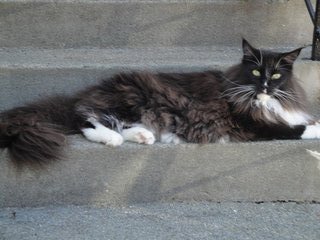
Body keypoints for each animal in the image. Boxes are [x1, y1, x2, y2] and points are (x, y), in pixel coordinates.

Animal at [0, 39, 320, 167]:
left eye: (276, 74)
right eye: (256, 72)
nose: (264, 86)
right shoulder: (254, 126)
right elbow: (299, 129)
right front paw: (315, 128)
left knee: (120, 125)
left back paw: (143, 136)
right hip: (131, 99)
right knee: (86, 121)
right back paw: (112, 139)